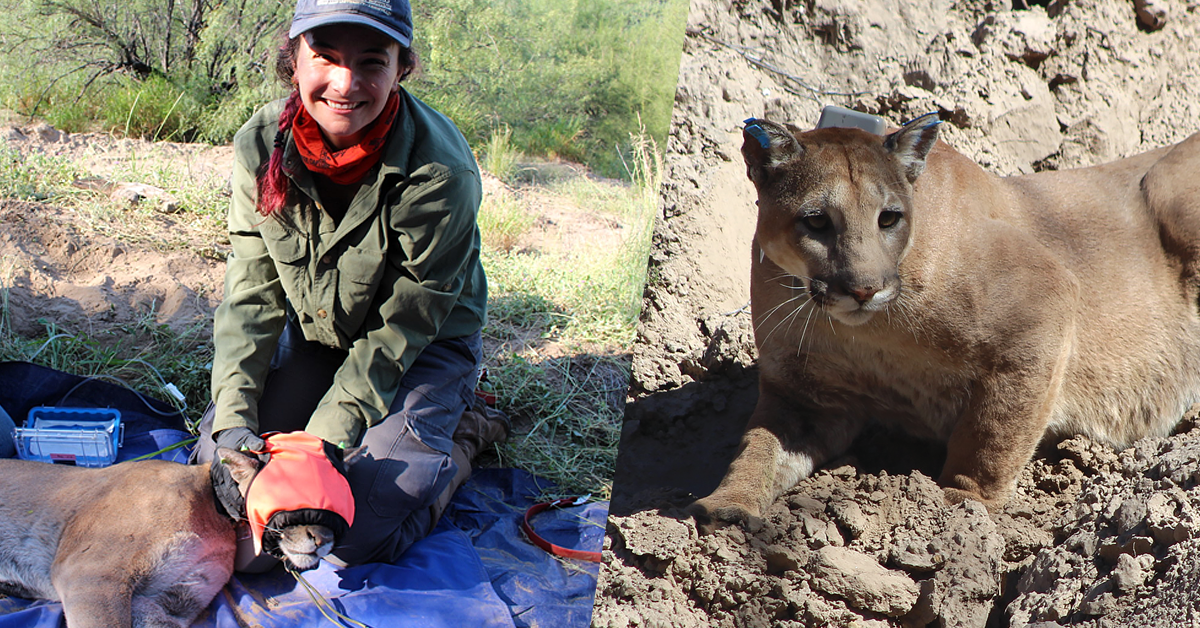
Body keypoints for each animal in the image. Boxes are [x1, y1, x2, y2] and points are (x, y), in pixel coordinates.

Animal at [688, 113, 1200, 530]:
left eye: (889, 218)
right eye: (815, 222)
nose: (863, 289)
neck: (870, 331)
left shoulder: (1045, 304)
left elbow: (992, 430)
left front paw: (958, 503)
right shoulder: (805, 395)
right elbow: (758, 446)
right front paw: (730, 503)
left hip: (1170, 192)